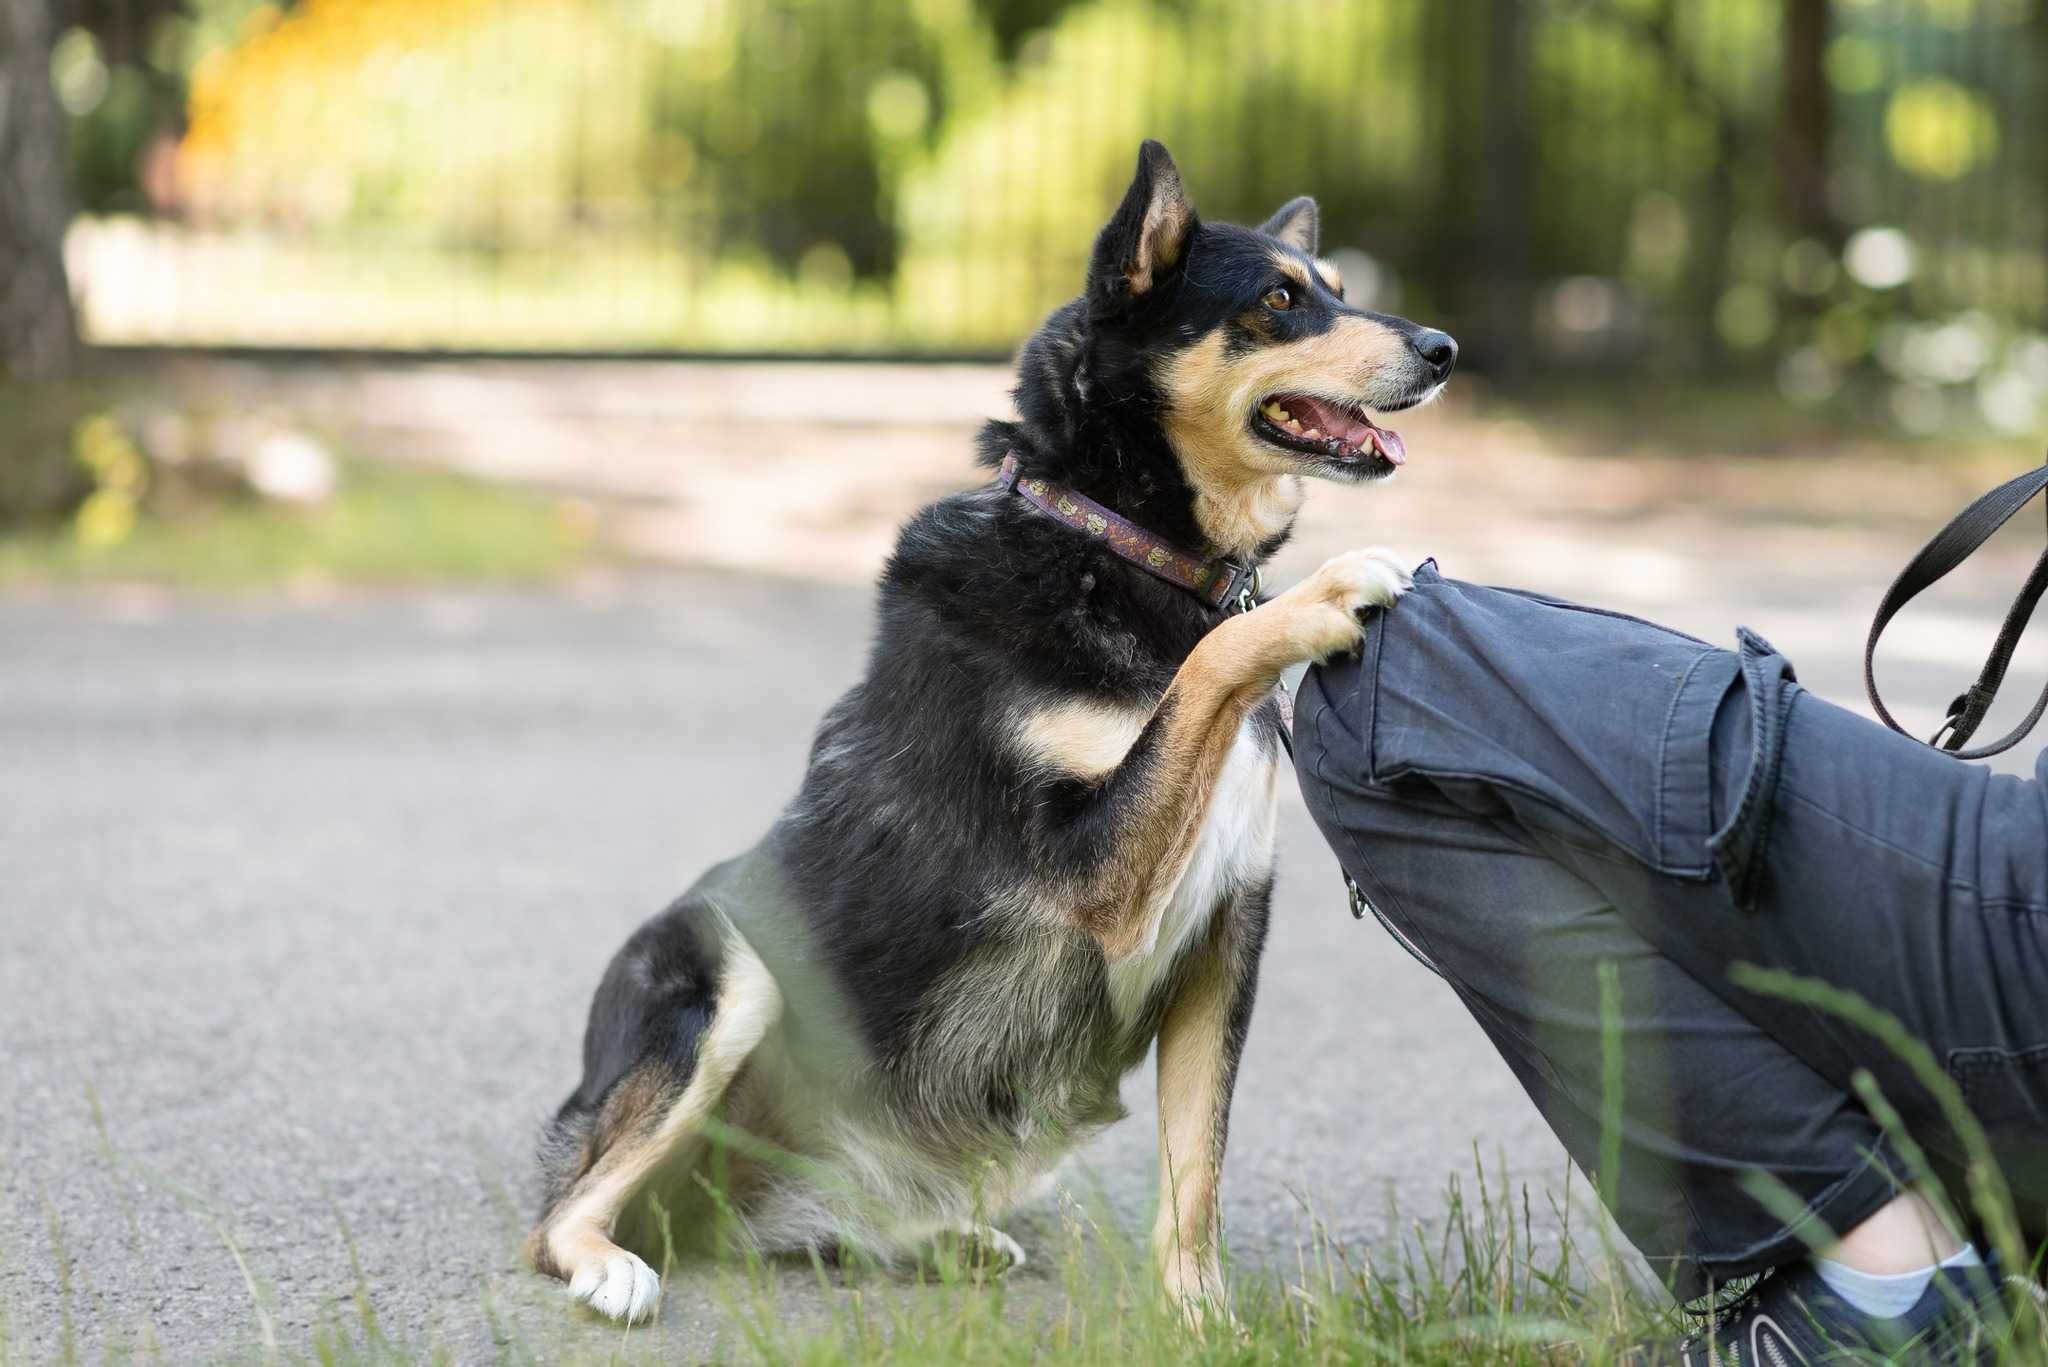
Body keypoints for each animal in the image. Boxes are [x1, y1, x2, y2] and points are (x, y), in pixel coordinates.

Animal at [528, 141, 1458, 1328]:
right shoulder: (1089, 867)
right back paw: (609, 1264)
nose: (1443, 350)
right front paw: (1329, 590)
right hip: (724, 982)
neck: (1115, 541)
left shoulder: (1226, 932)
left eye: (1336, 285)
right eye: (1279, 300)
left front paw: (1198, 1313)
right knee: (558, 1214)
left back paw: (938, 1240)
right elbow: (1211, 659)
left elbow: (1195, 1167)